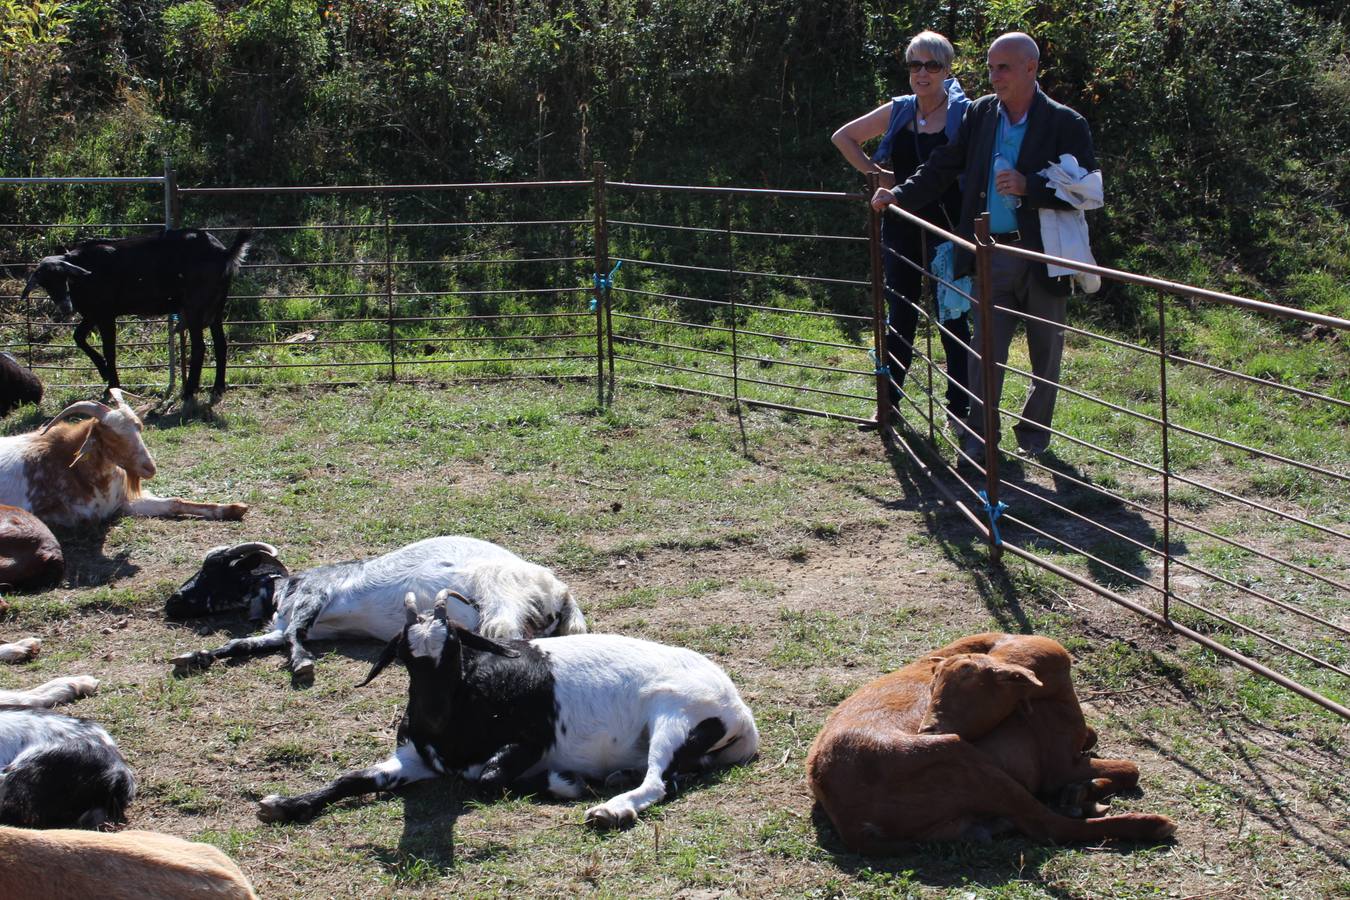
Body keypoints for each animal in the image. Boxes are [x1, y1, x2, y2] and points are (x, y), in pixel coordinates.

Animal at [21, 230, 252, 402]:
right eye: (45, 283)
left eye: (63, 277)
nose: (66, 307)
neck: (85, 272)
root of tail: (225, 253)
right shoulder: (94, 314)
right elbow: (78, 337)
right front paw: (104, 372)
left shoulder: (105, 315)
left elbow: (109, 349)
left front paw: (112, 386)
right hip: (216, 307)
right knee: (221, 344)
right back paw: (218, 388)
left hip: (195, 305)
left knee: (199, 347)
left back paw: (188, 391)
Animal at [166, 534, 588, 682]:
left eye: (214, 569)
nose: (172, 603)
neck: (282, 592)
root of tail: (559, 591)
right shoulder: (285, 627)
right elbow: (243, 644)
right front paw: (194, 656)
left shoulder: (314, 598)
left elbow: (294, 636)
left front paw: (302, 664)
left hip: (500, 603)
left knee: (510, 638)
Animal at [255, 599, 761, 831]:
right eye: (405, 656)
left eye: (455, 648)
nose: (430, 715)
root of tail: (741, 714)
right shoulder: (414, 757)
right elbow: (352, 779)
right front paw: (286, 804)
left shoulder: (529, 743)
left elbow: (487, 779)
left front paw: (564, 782)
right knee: (673, 776)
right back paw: (617, 779)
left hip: (673, 718)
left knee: (659, 782)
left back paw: (610, 806)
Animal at [804, 634, 1177, 852]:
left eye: (970, 690)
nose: (927, 731)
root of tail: (852, 820)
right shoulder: (1058, 765)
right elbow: (1130, 768)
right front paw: (1082, 791)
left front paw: (1083, 791)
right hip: (971, 765)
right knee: (1048, 826)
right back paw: (1150, 824)